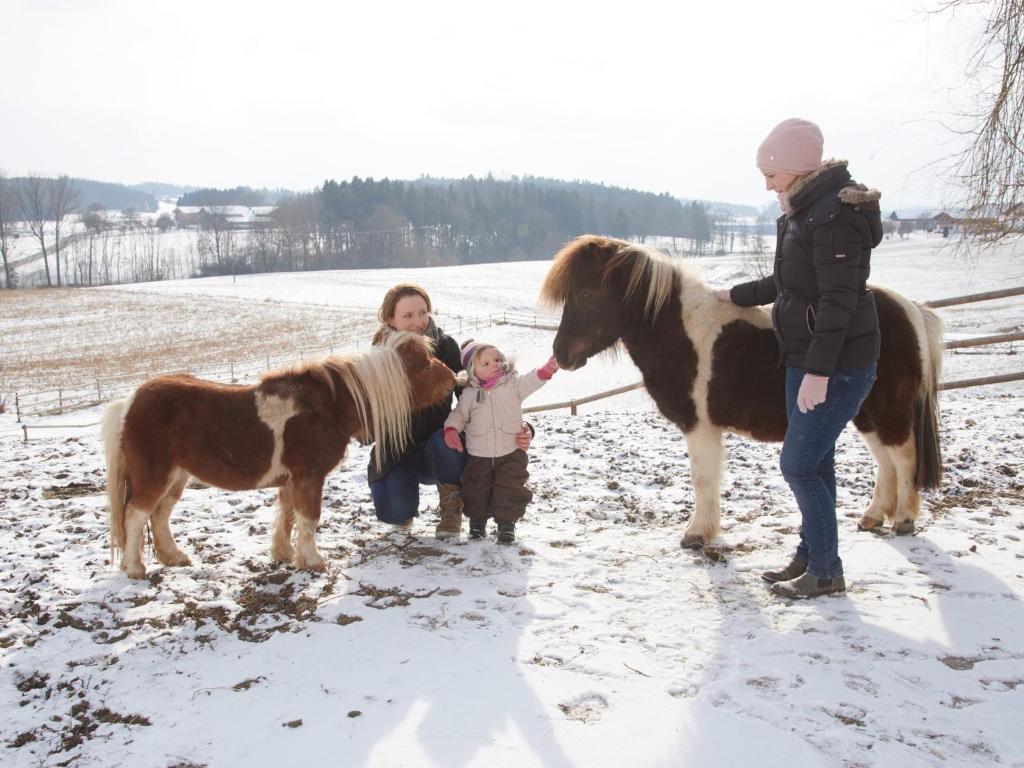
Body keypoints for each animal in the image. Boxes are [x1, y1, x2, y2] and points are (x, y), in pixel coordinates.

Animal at [101, 333, 454, 581]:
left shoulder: (292, 480)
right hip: (154, 476)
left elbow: (287, 515)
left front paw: (284, 554)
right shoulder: (310, 477)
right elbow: (309, 517)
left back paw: (173, 557)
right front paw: (313, 561)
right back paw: (135, 568)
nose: (454, 377)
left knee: (159, 515)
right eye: (425, 365)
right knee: (136, 516)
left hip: (177, 476)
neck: (331, 406)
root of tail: (130, 401)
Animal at [544, 237, 942, 548]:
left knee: (904, 458)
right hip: (864, 413)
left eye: (585, 293)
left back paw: (903, 519)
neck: (681, 333)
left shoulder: (700, 427)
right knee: (885, 461)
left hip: (888, 411)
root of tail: (910, 309)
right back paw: (873, 516)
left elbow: (702, 479)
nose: (560, 355)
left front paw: (697, 534)